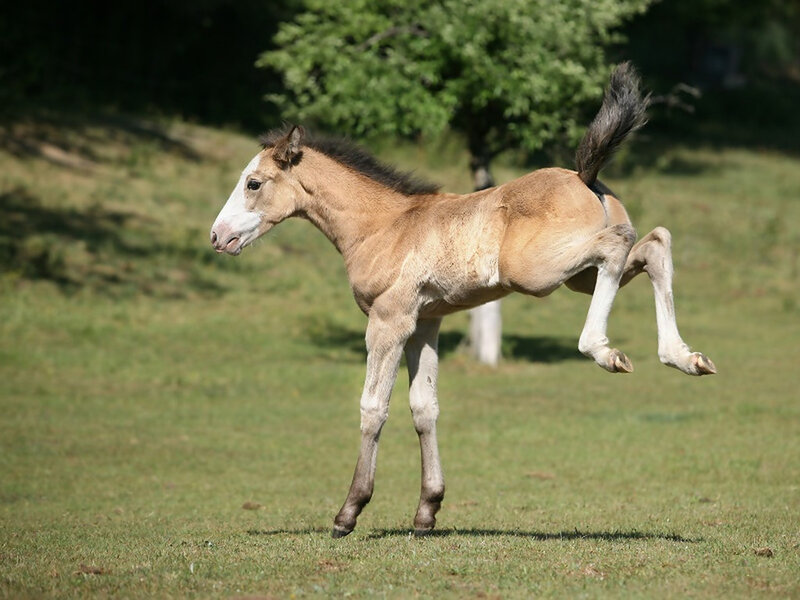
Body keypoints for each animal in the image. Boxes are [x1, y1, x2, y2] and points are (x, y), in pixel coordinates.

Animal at [210, 63, 715, 538]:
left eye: (253, 183)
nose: (218, 236)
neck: (383, 226)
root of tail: (584, 176)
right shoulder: (425, 323)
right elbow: (424, 407)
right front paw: (426, 511)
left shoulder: (389, 321)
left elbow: (373, 408)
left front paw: (348, 513)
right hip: (581, 279)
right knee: (653, 245)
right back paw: (684, 358)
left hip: (538, 272)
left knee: (622, 241)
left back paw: (603, 350)